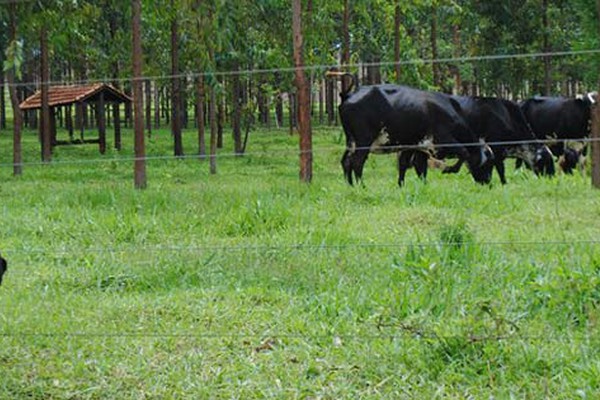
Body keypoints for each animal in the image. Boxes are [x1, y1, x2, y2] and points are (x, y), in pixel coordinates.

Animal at [332, 78, 492, 188]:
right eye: (488, 164)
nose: (488, 183)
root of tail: (348, 95)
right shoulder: (443, 140)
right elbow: (464, 152)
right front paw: (449, 169)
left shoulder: (415, 146)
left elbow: (414, 167)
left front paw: (407, 185)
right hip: (363, 141)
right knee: (357, 162)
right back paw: (362, 186)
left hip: (351, 141)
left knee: (346, 161)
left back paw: (350, 186)